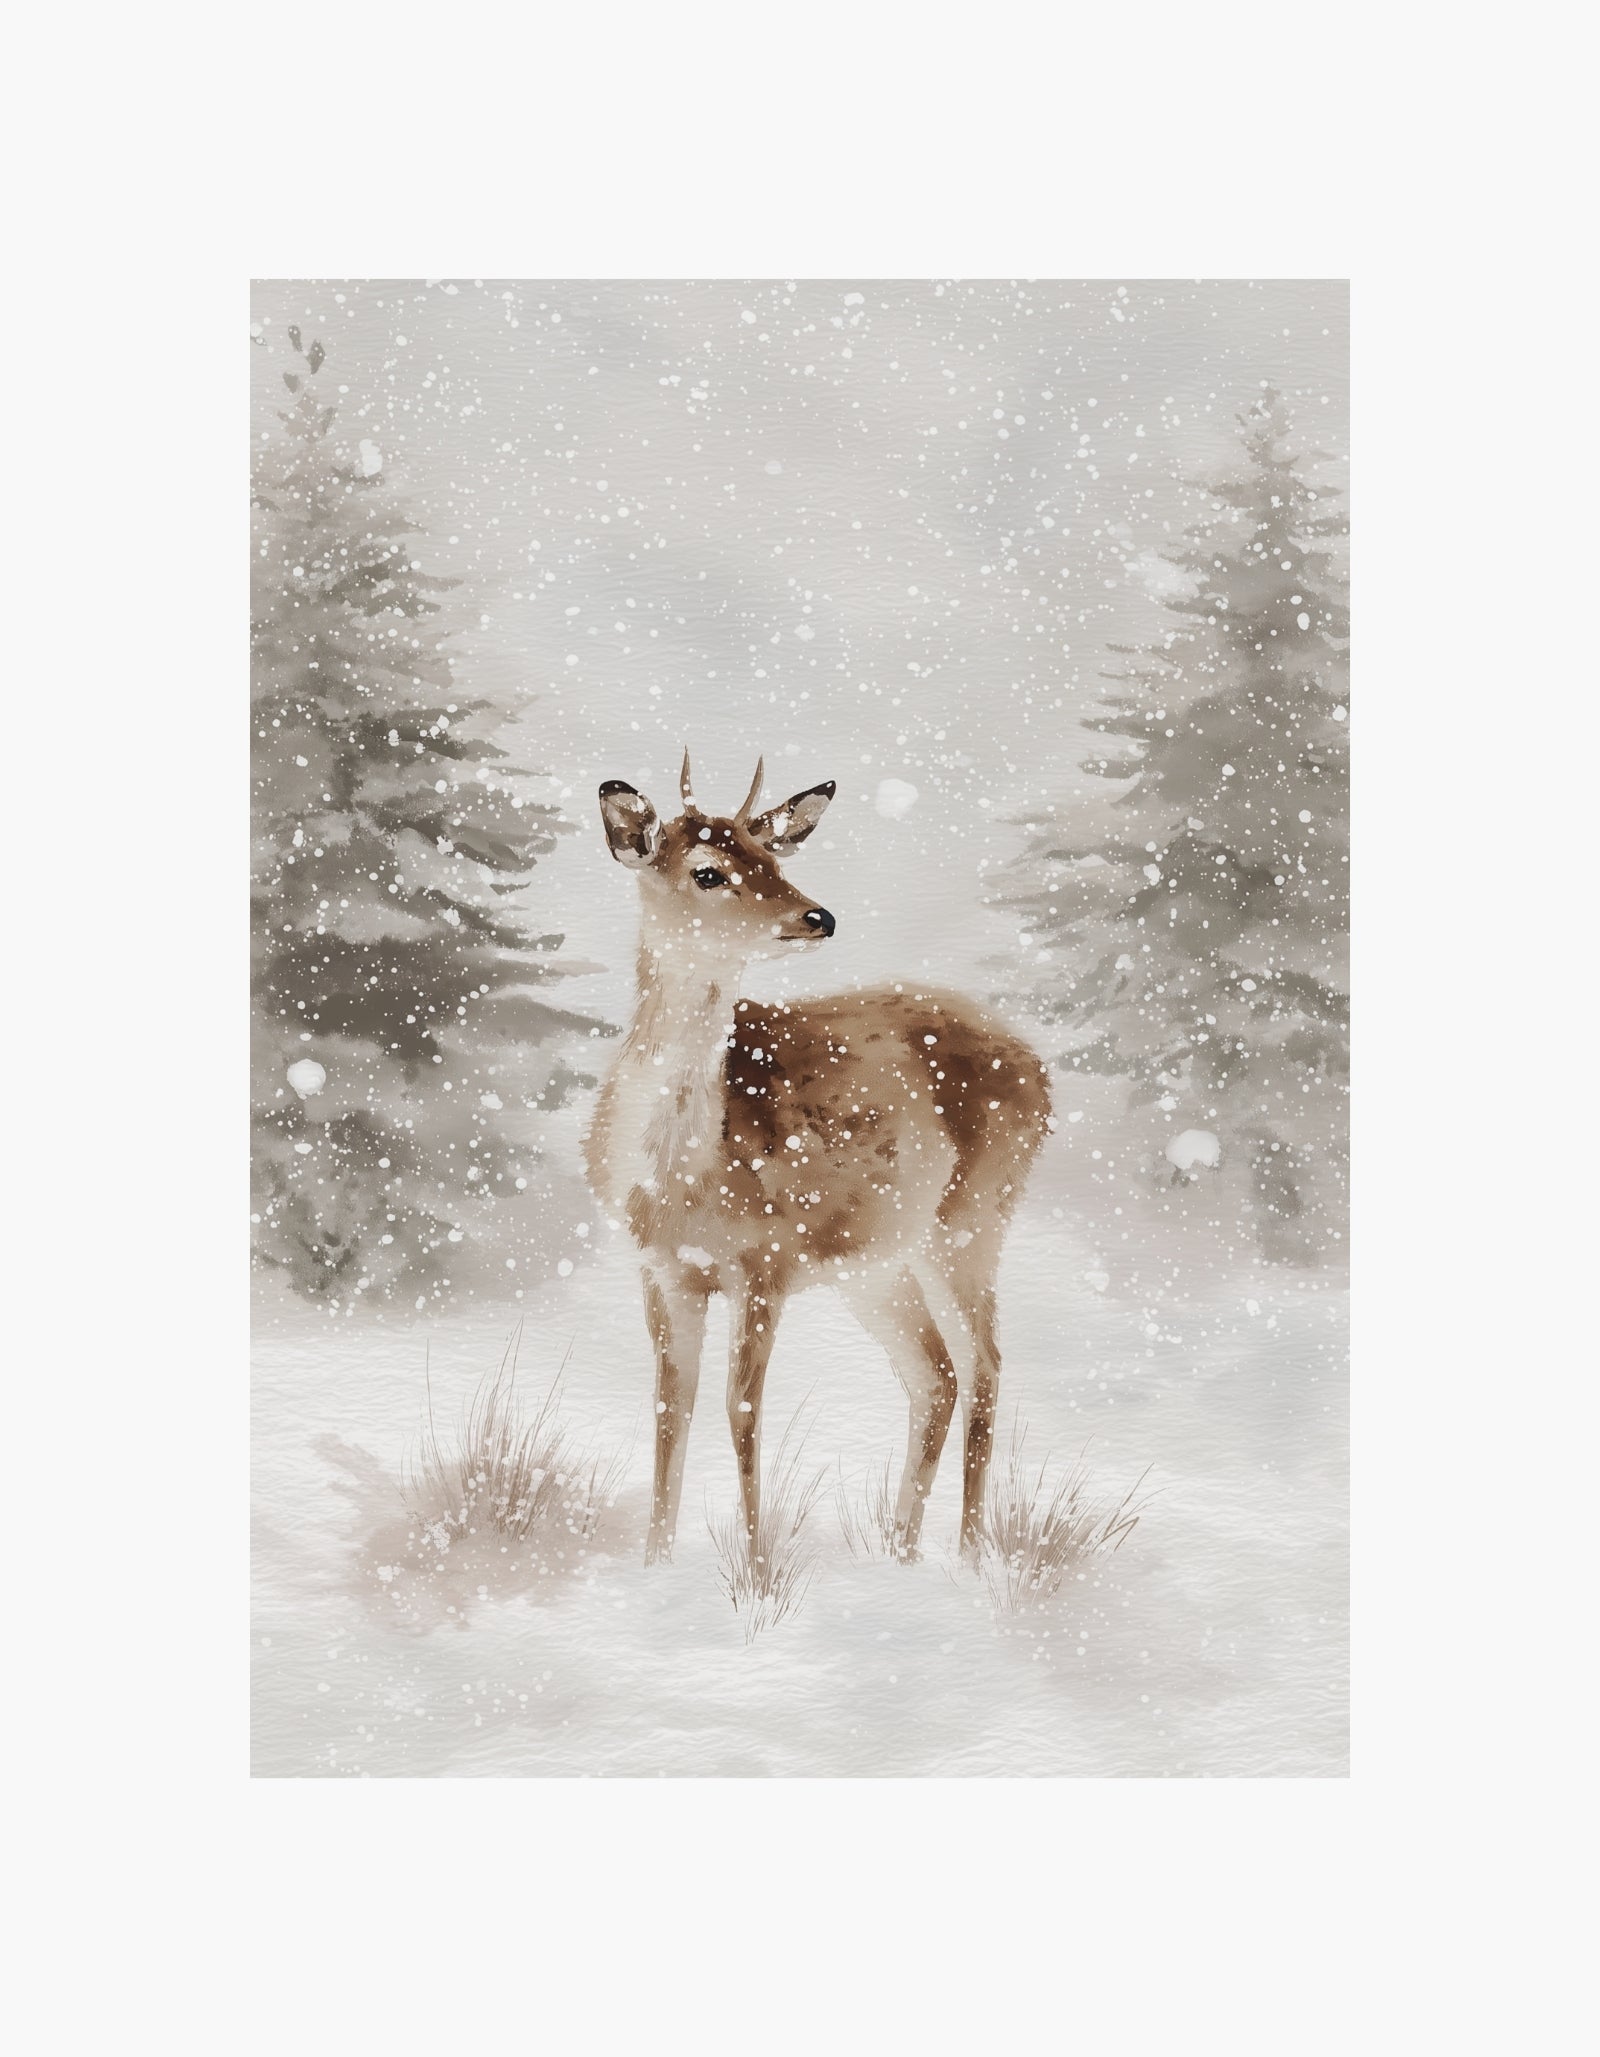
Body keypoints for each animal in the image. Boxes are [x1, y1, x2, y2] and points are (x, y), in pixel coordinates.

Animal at [582, 751, 1052, 1565]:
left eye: (772, 858)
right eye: (708, 871)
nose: (818, 917)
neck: (681, 1172)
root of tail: (1039, 1069)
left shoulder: (766, 1260)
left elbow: (741, 1411)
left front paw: (756, 1566)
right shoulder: (662, 1269)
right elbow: (672, 1408)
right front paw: (656, 1563)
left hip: (971, 1220)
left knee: (985, 1364)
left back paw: (965, 1556)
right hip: (877, 1263)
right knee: (936, 1374)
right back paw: (900, 1552)